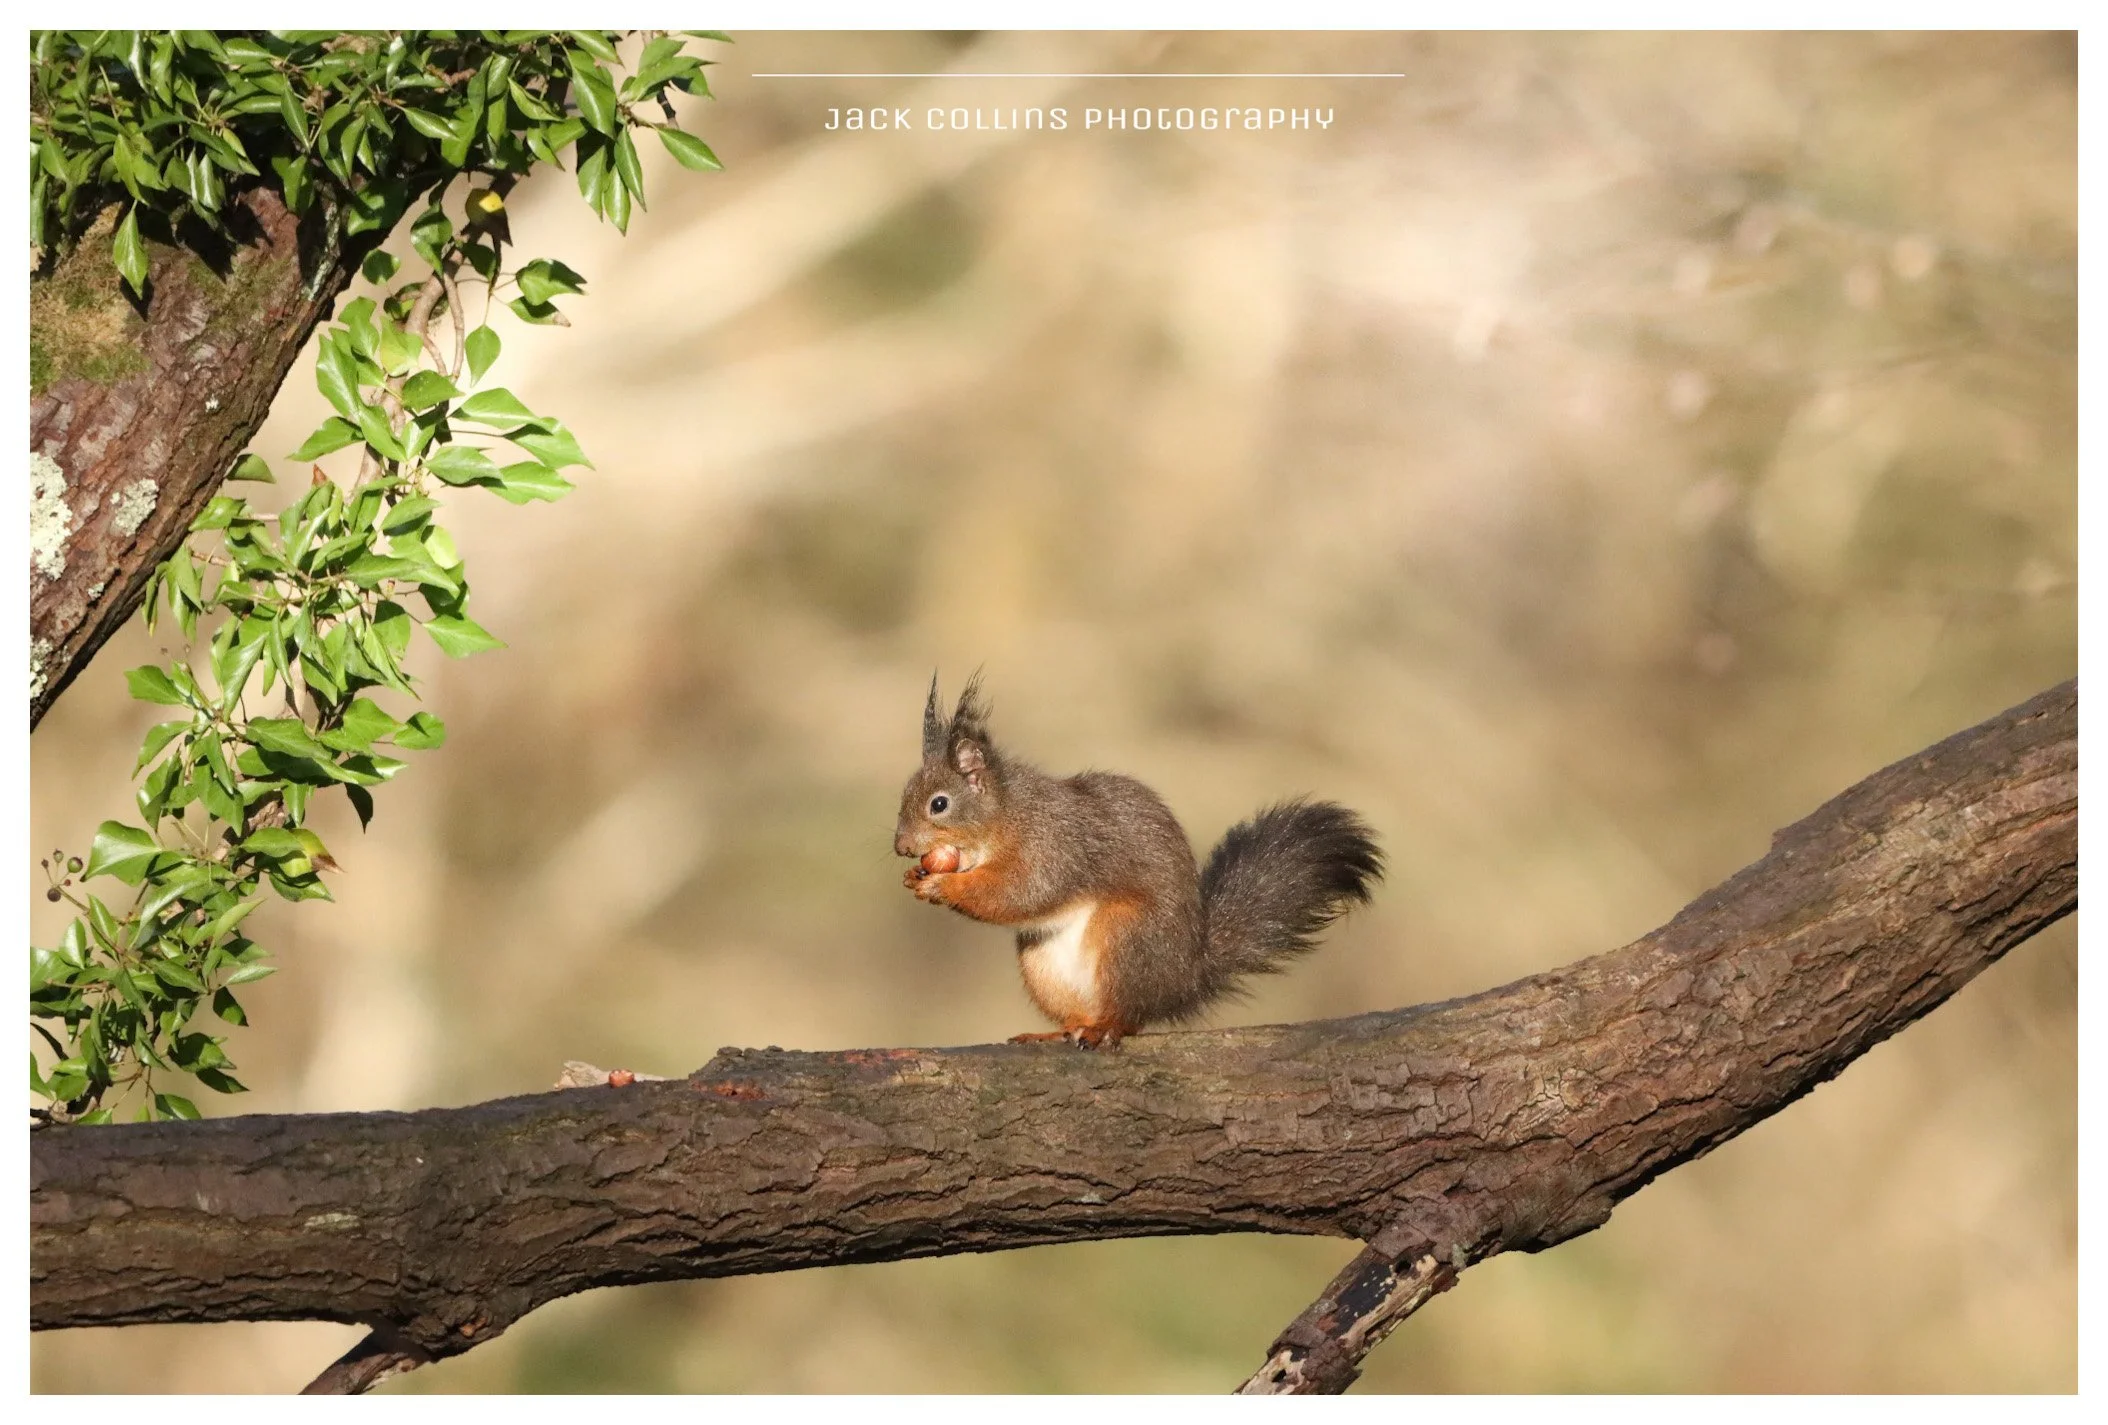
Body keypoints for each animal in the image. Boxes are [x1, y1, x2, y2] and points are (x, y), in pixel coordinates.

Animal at [893, 674, 1384, 1049]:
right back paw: (1061, 1031)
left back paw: (1104, 1029)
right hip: (1043, 964)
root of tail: (1184, 978)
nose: (900, 847)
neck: (1006, 816)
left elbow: (1023, 891)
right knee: (1080, 1015)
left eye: (939, 804)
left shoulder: (1053, 847)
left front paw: (941, 885)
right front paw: (916, 875)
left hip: (1127, 937)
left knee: (1128, 1017)